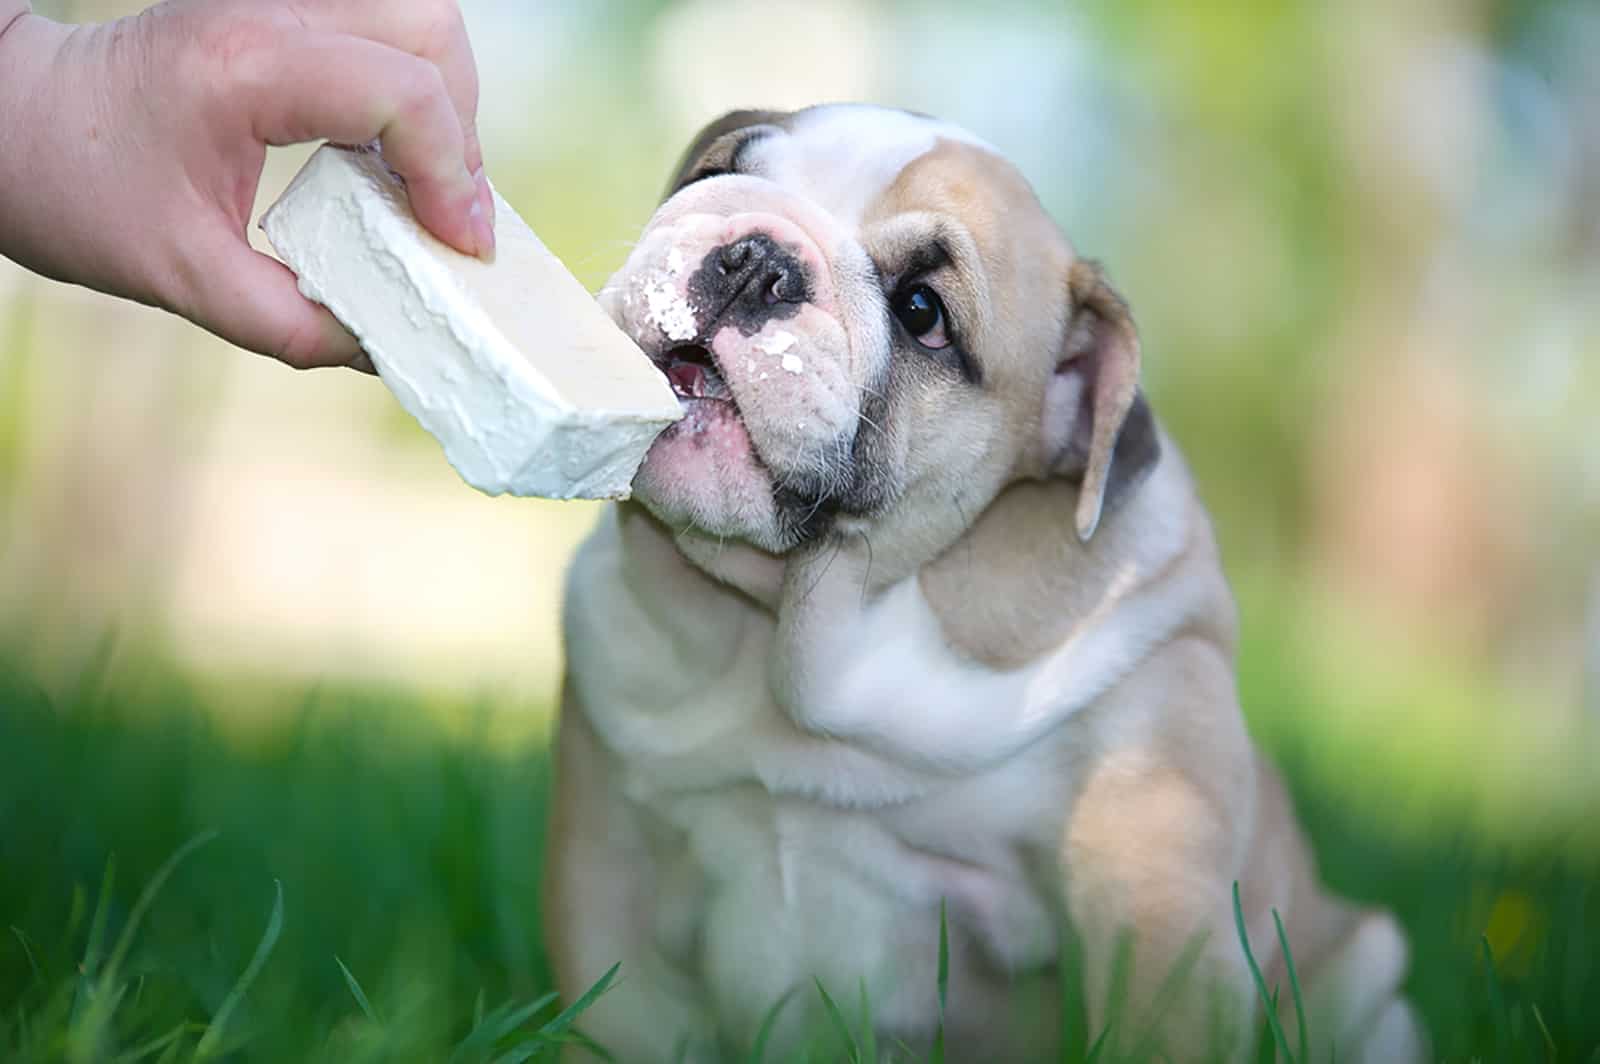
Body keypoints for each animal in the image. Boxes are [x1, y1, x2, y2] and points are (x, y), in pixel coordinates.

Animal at [540, 101, 1427, 1062]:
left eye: (922, 312)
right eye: (716, 174)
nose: (756, 259)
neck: (789, 634)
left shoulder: (1148, 864)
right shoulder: (607, 866)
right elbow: (619, 1011)